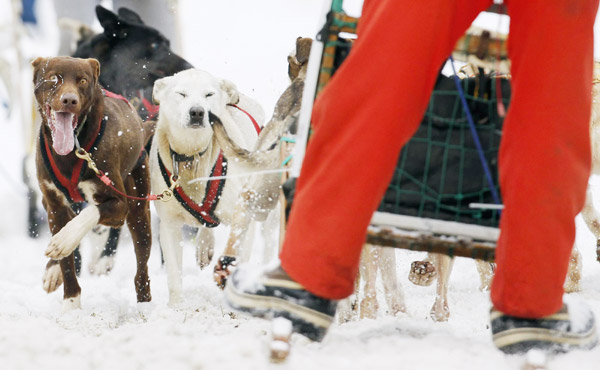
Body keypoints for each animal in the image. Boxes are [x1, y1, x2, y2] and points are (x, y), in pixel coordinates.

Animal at [31, 55, 154, 310]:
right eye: (54, 78)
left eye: (83, 80)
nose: (69, 100)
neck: (71, 152)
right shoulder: (54, 205)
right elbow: (67, 263)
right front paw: (71, 304)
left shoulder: (119, 205)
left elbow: (88, 215)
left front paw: (64, 239)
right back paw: (53, 270)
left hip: (138, 209)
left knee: (142, 269)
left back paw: (145, 306)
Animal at [149, 68, 264, 304]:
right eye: (181, 94)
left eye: (209, 94)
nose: (197, 112)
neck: (193, 157)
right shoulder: (169, 225)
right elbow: (174, 275)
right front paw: (176, 307)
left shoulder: (243, 214)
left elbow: (238, 253)